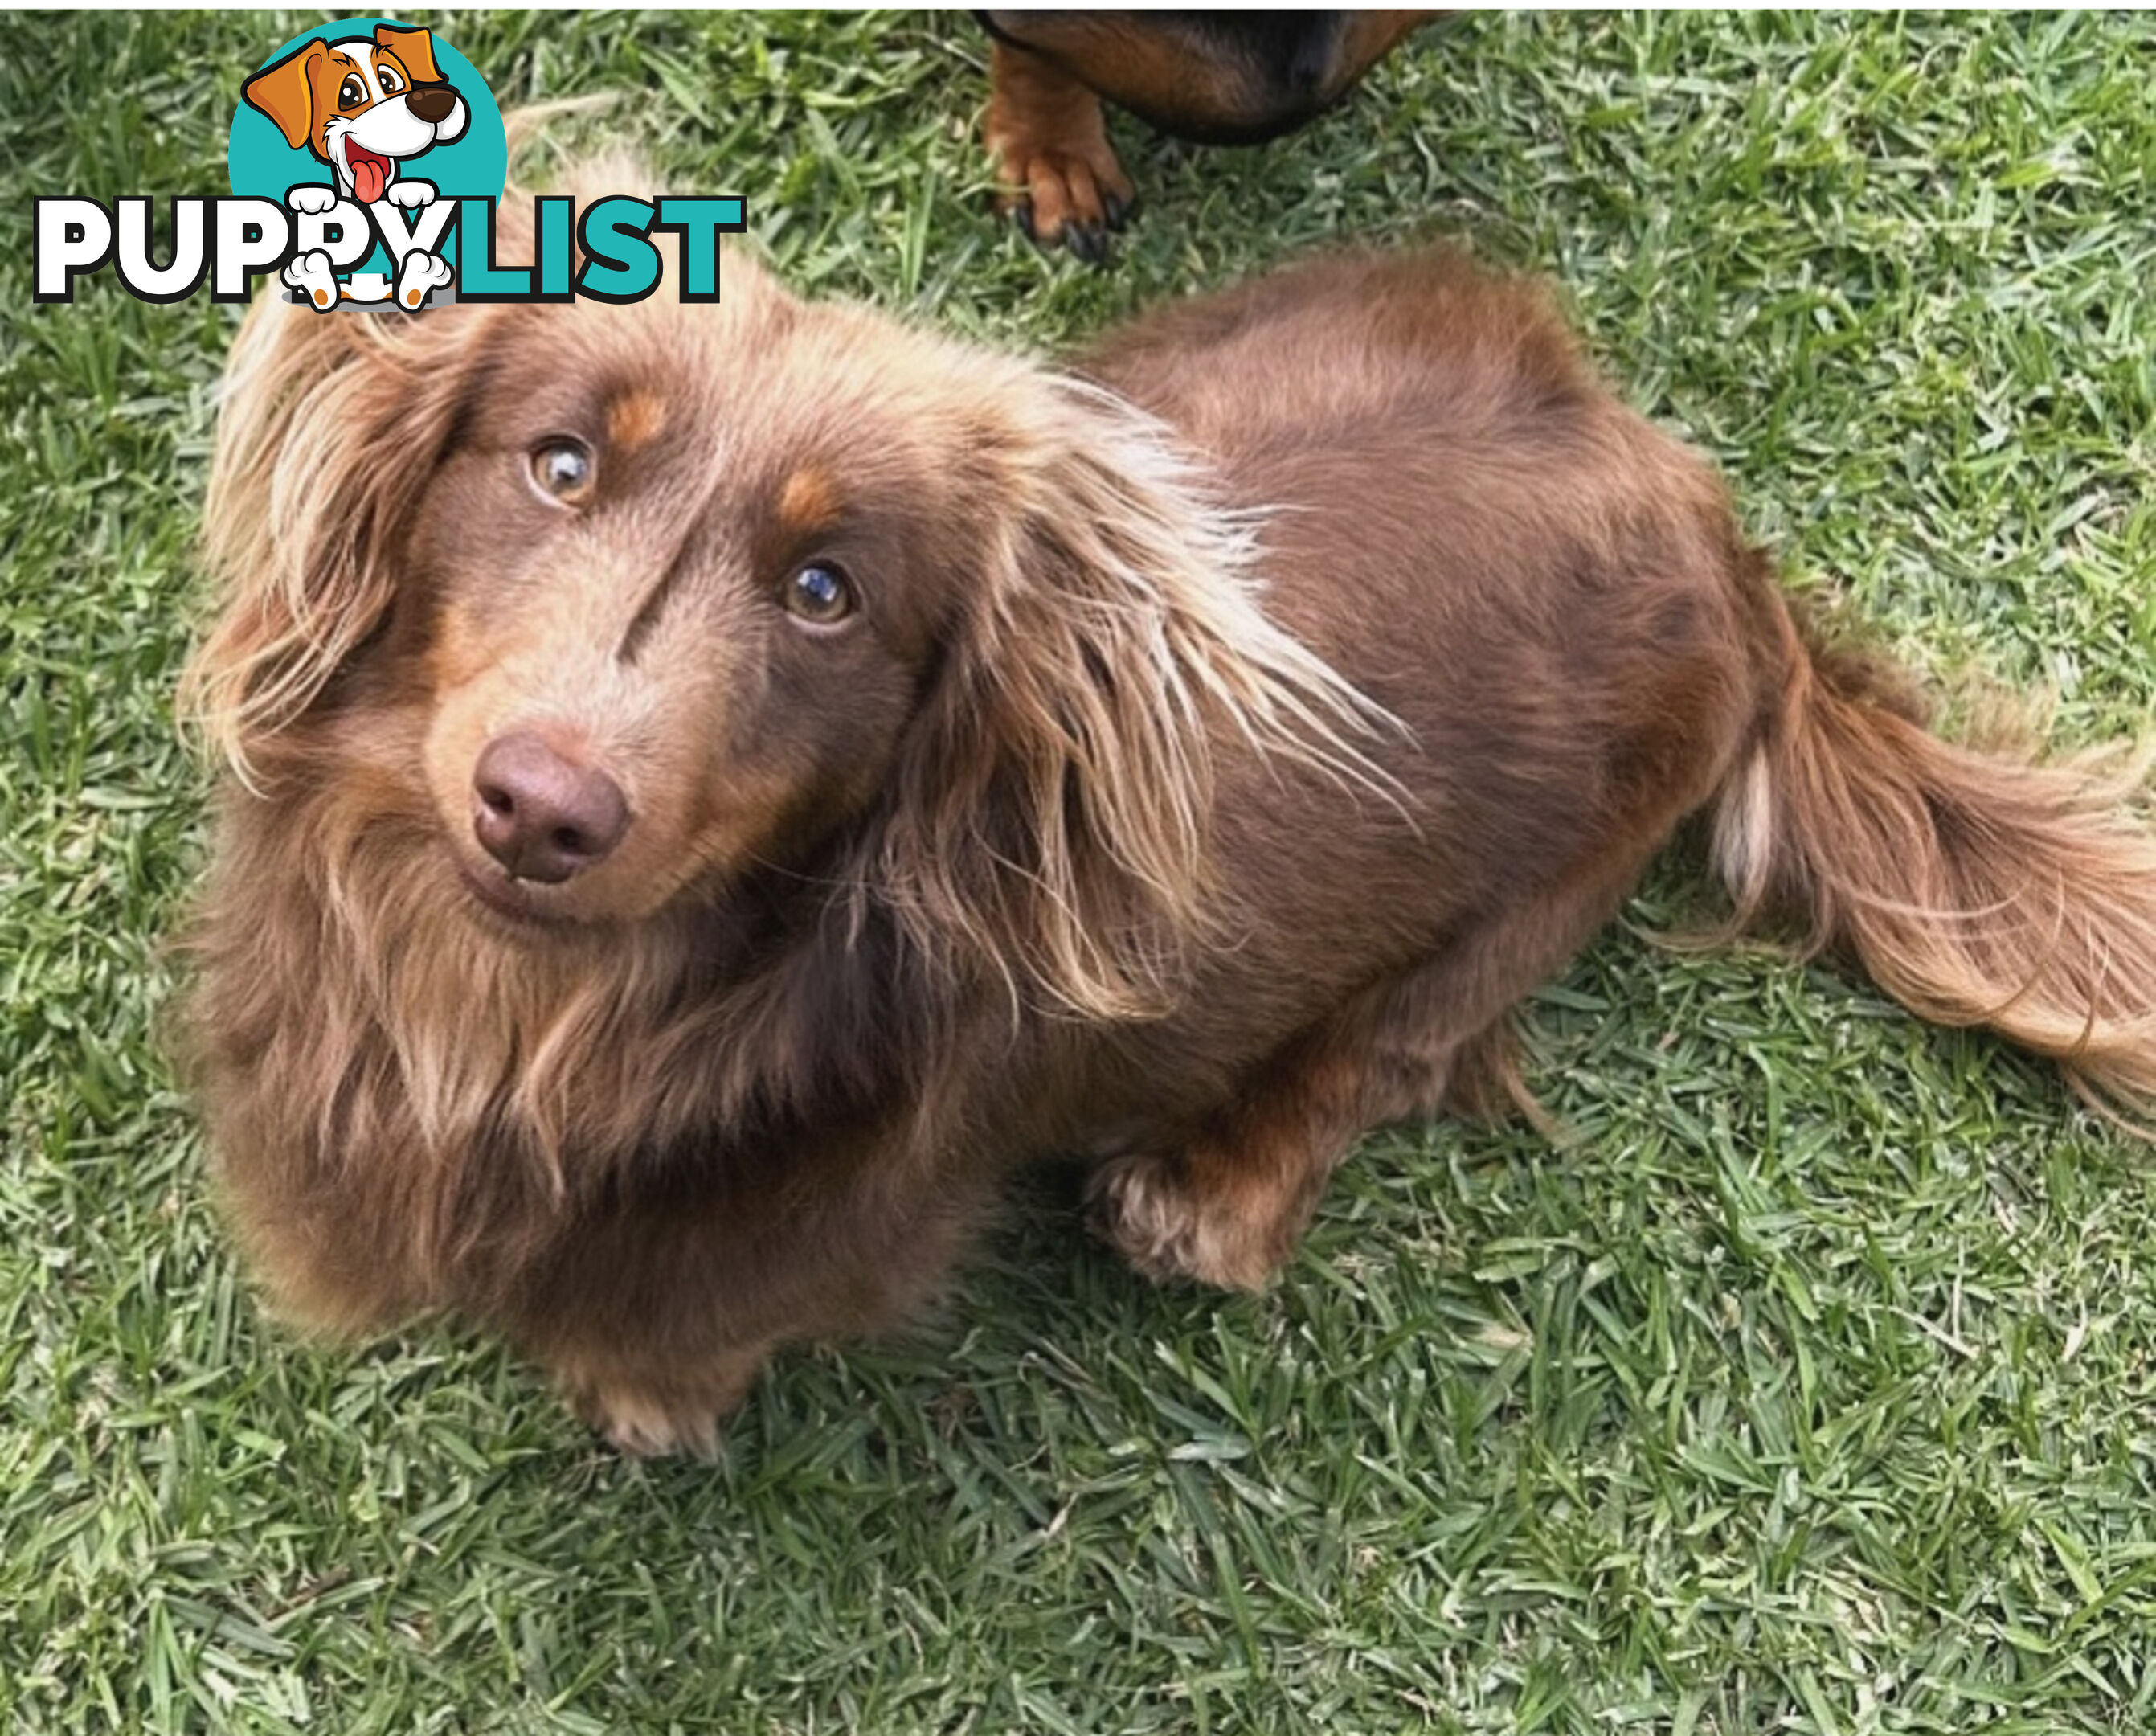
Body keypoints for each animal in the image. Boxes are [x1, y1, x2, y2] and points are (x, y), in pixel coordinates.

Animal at [177, 178, 2156, 1449]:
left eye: (828, 593)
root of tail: (1710, 533)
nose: (542, 811)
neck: (520, 1010)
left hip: (1538, 886)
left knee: (1384, 1058)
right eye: (562, 461)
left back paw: (1209, 1187)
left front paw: (639, 1405)